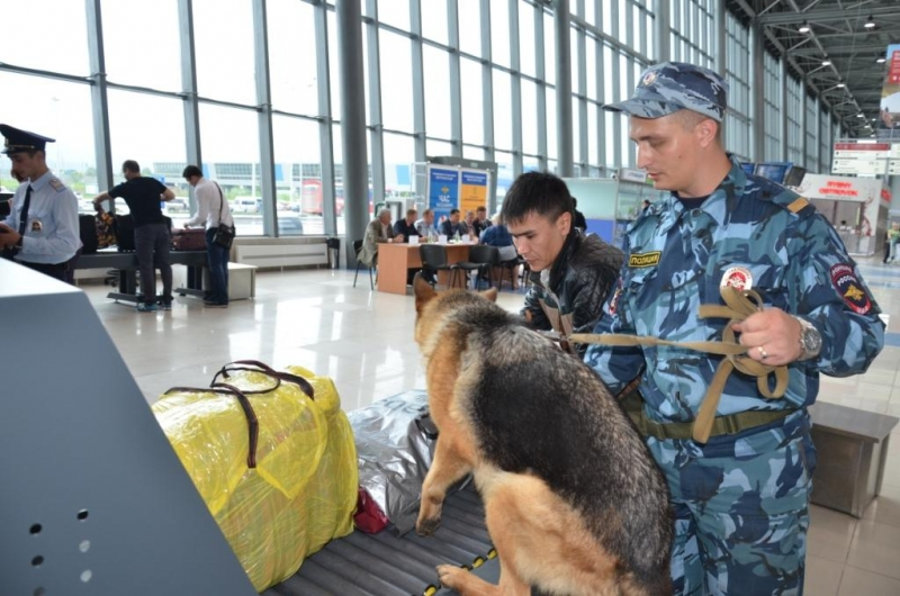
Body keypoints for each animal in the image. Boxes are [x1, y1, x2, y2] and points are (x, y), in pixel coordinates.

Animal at [412, 278, 672, 592]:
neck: (473, 316)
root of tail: (643, 570)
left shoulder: (453, 442)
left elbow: (431, 482)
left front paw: (426, 517)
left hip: (504, 495)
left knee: (512, 591)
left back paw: (462, 578)